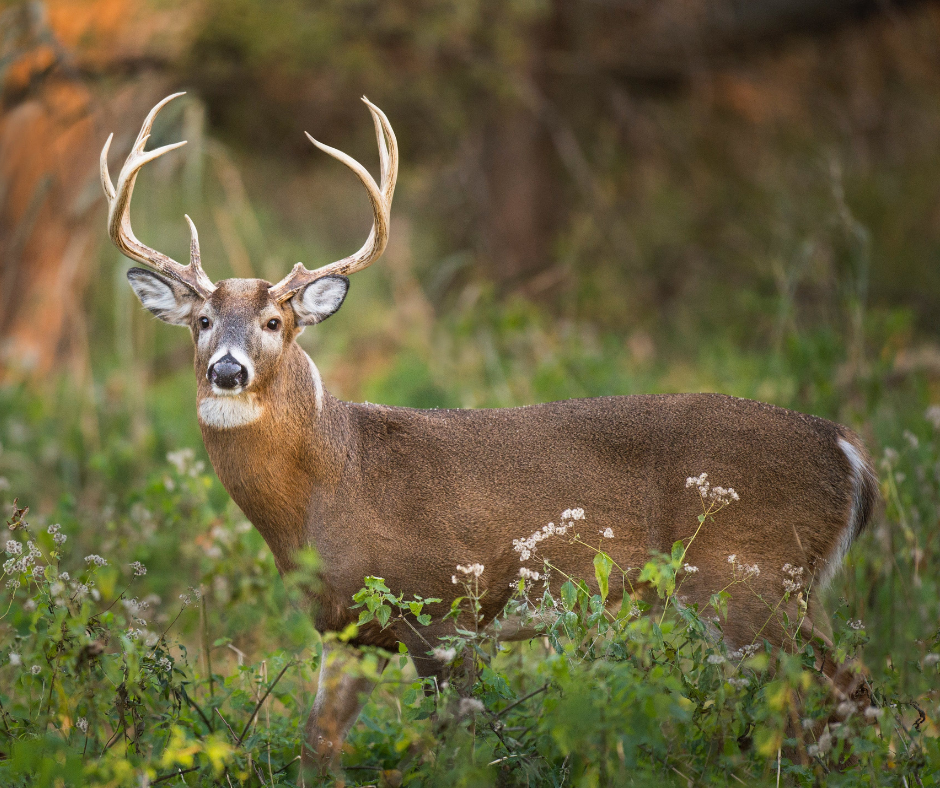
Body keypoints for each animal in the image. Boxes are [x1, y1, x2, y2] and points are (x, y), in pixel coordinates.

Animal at [101, 93, 879, 776]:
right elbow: (316, 747)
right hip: (783, 587)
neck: (332, 480)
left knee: (836, 692)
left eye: (274, 322)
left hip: (751, 577)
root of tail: (848, 451)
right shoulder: (344, 628)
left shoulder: (450, 608)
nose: (227, 370)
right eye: (203, 321)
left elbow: (458, 745)